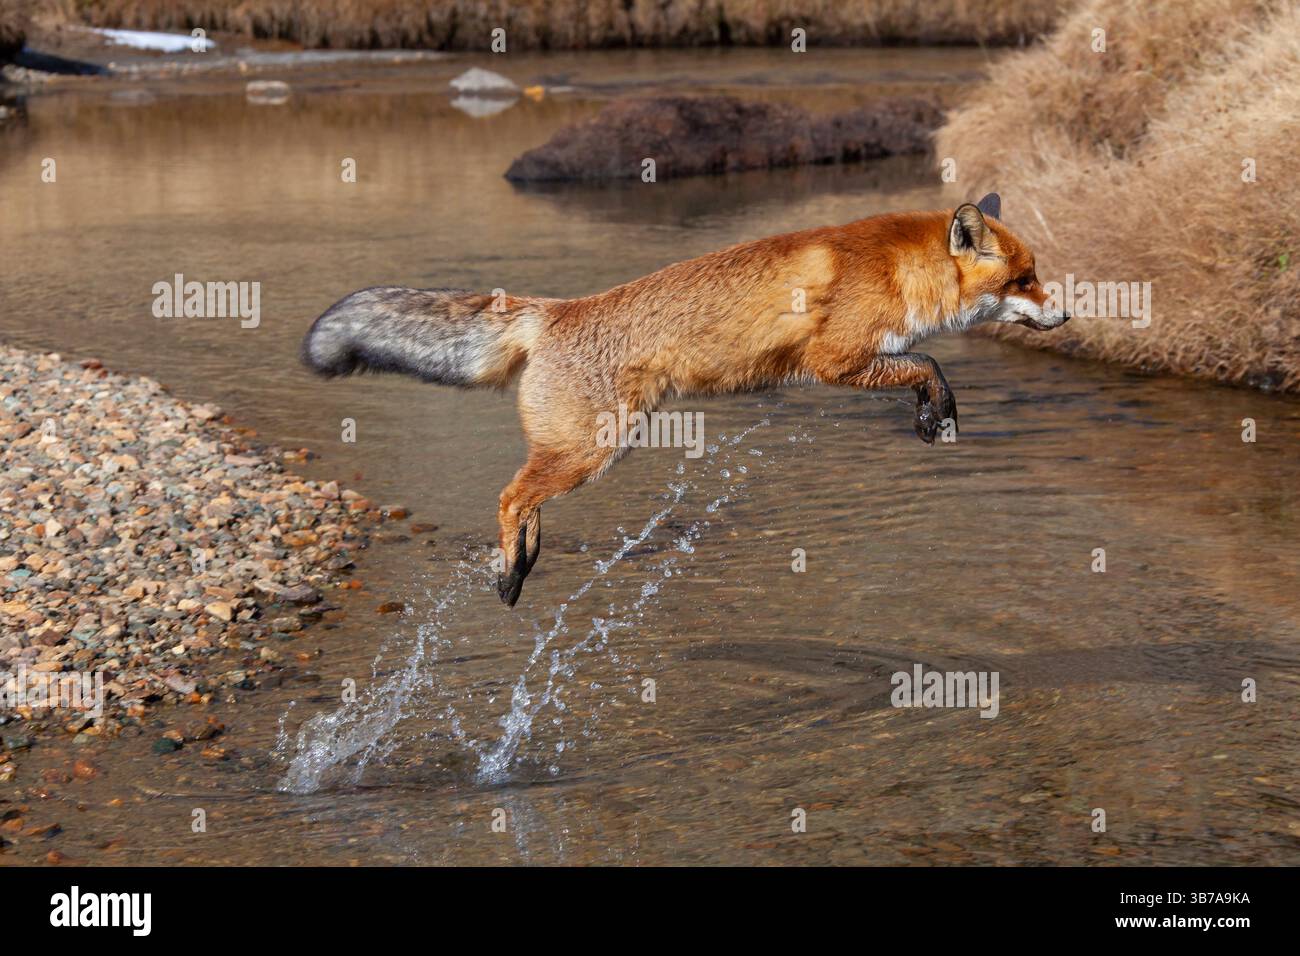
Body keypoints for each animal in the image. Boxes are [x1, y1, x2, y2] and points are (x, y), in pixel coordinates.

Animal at [301, 193, 1069, 606]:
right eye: (1024, 280)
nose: (1065, 314)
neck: (896, 269)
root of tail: (559, 311)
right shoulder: (834, 361)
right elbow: (929, 364)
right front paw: (937, 415)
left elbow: (925, 362)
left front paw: (933, 417)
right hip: (591, 449)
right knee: (510, 495)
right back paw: (512, 572)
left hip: (583, 447)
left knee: (525, 498)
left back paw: (525, 558)